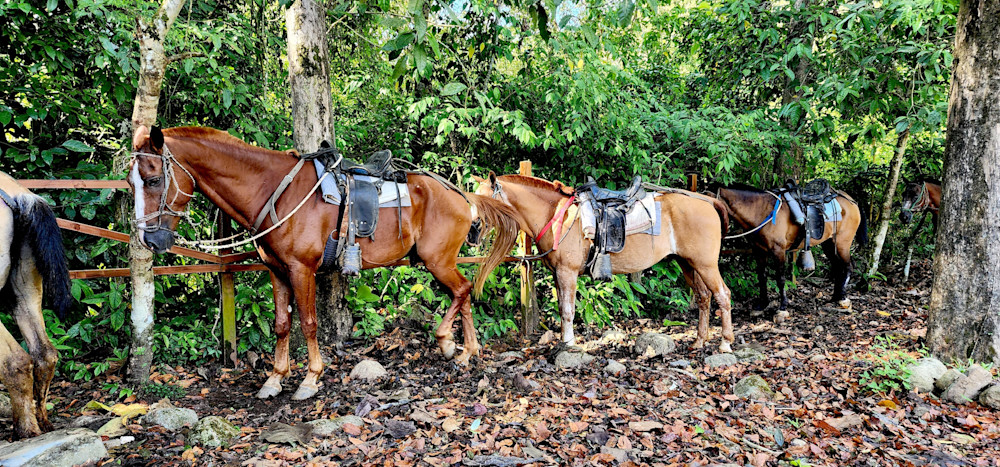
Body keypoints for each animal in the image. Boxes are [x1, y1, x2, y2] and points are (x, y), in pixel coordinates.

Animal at [0, 172, 71, 439]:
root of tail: (23, 197)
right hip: (24, 289)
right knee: (45, 354)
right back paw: (41, 423)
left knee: (15, 361)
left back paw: (26, 431)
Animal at [129, 126, 522, 400]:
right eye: (132, 183)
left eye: (153, 179)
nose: (151, 240)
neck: (274, 191)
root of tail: (463, 196)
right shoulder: (276, 271)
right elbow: (282, 325)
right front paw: (275, 379)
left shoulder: (301, 269)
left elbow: (308, 323)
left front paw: (310, 379)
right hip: (440, 261)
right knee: (464, 292)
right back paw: (464, 349)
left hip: (437, 260)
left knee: (462, 290)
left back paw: (451, 344)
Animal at [475, 172, 736, 352]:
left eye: (486, 201)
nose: (472, 230)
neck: (556, 214)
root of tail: (707, 201)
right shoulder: (558, 274)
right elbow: (561, 308)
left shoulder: (567, 273)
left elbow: (568, 310)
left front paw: (569, 344)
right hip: (687, 264)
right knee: (704, 297)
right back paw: (700, 341)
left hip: (705, 265)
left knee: (723, 295)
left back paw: (725, 343)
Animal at [714, 184, 866, 320]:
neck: (762, 211)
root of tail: (851, 200)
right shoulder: (759, 251)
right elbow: (762, 277)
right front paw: (762, 305)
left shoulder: (779, 251)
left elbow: (780, 279)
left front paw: (782, 308)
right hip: (828, 243)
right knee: (838, 266)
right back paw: (835, 297)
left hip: (842, 243)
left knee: (848, 266)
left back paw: (843, 298)